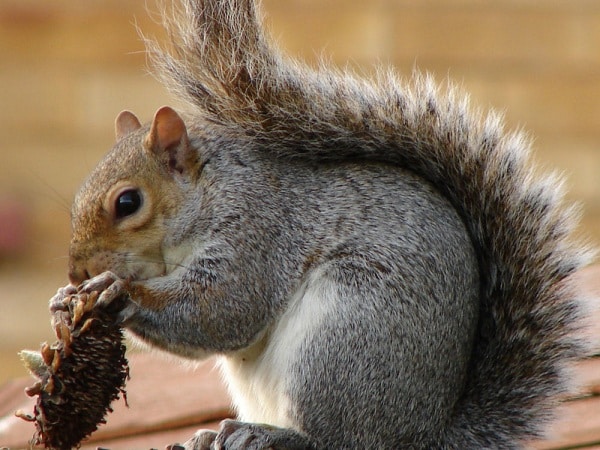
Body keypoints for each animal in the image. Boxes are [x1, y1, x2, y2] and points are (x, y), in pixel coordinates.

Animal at [56, 0, 592, 448]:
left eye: (128, 202)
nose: (76, 271)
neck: (209, 193)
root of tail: (423, 436)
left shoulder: (258, 231)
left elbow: (222, 309)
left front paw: (116, 291)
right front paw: (65, 299)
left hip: (343, 338)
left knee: (340, 439)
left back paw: (277, 436)